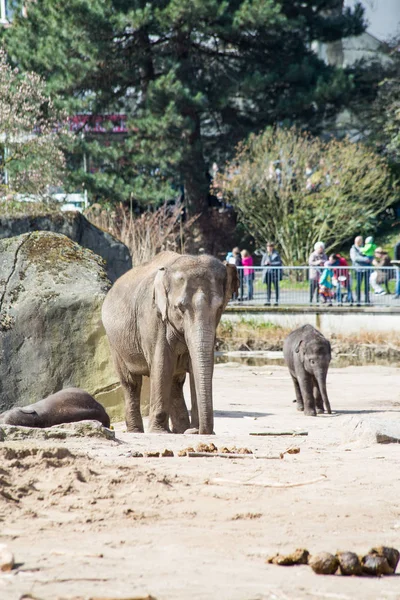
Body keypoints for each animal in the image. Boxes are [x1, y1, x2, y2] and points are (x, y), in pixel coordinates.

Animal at [101, 251, 238, 434]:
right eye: (180, 308)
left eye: (220, 308)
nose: (203, 431)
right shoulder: (153, 318)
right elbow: (162, 364)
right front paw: (159, 432)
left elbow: (196, 366)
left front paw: (192, 431)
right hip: (114, 342)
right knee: (131, 382)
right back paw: (136, 431)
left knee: (175, 382)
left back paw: (180, 430)